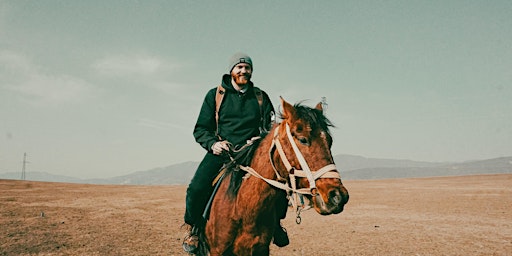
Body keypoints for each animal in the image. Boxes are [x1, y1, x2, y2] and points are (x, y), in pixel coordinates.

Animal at [198, 97, 350, 255]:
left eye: (329, 141)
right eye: (303, 139)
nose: (338, 196)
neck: (242, 208)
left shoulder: (261, 249)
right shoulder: (217, 250)